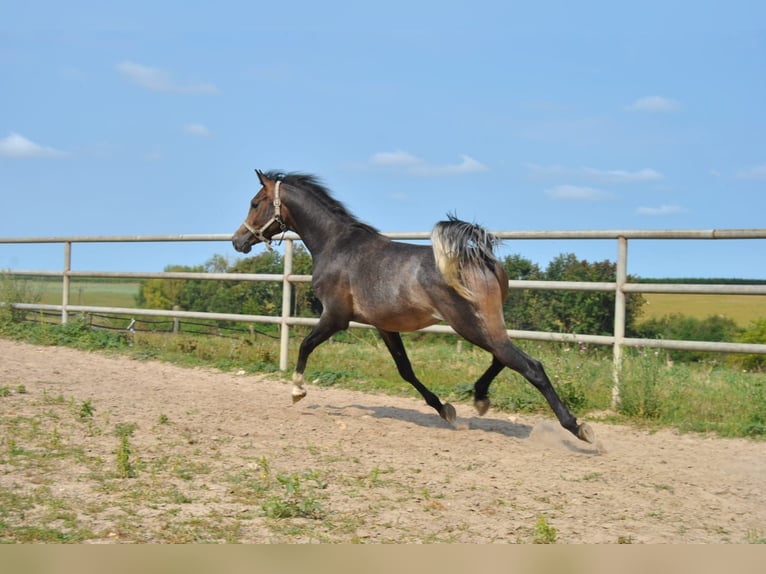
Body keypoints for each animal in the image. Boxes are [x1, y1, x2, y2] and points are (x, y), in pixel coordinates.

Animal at [231, 171, 596, 446]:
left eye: (254, 203)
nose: (238, 241)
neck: (336, 246)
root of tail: (481, 258)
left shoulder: (335, 316)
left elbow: (306, 344)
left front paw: (297, 391)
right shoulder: (384, 326)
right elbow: (405, 370)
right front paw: (445, 410)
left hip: (468, 324)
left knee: (528, 365)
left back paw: (578, 428)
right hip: (484, 324)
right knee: (502, 357)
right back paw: (480, 399)